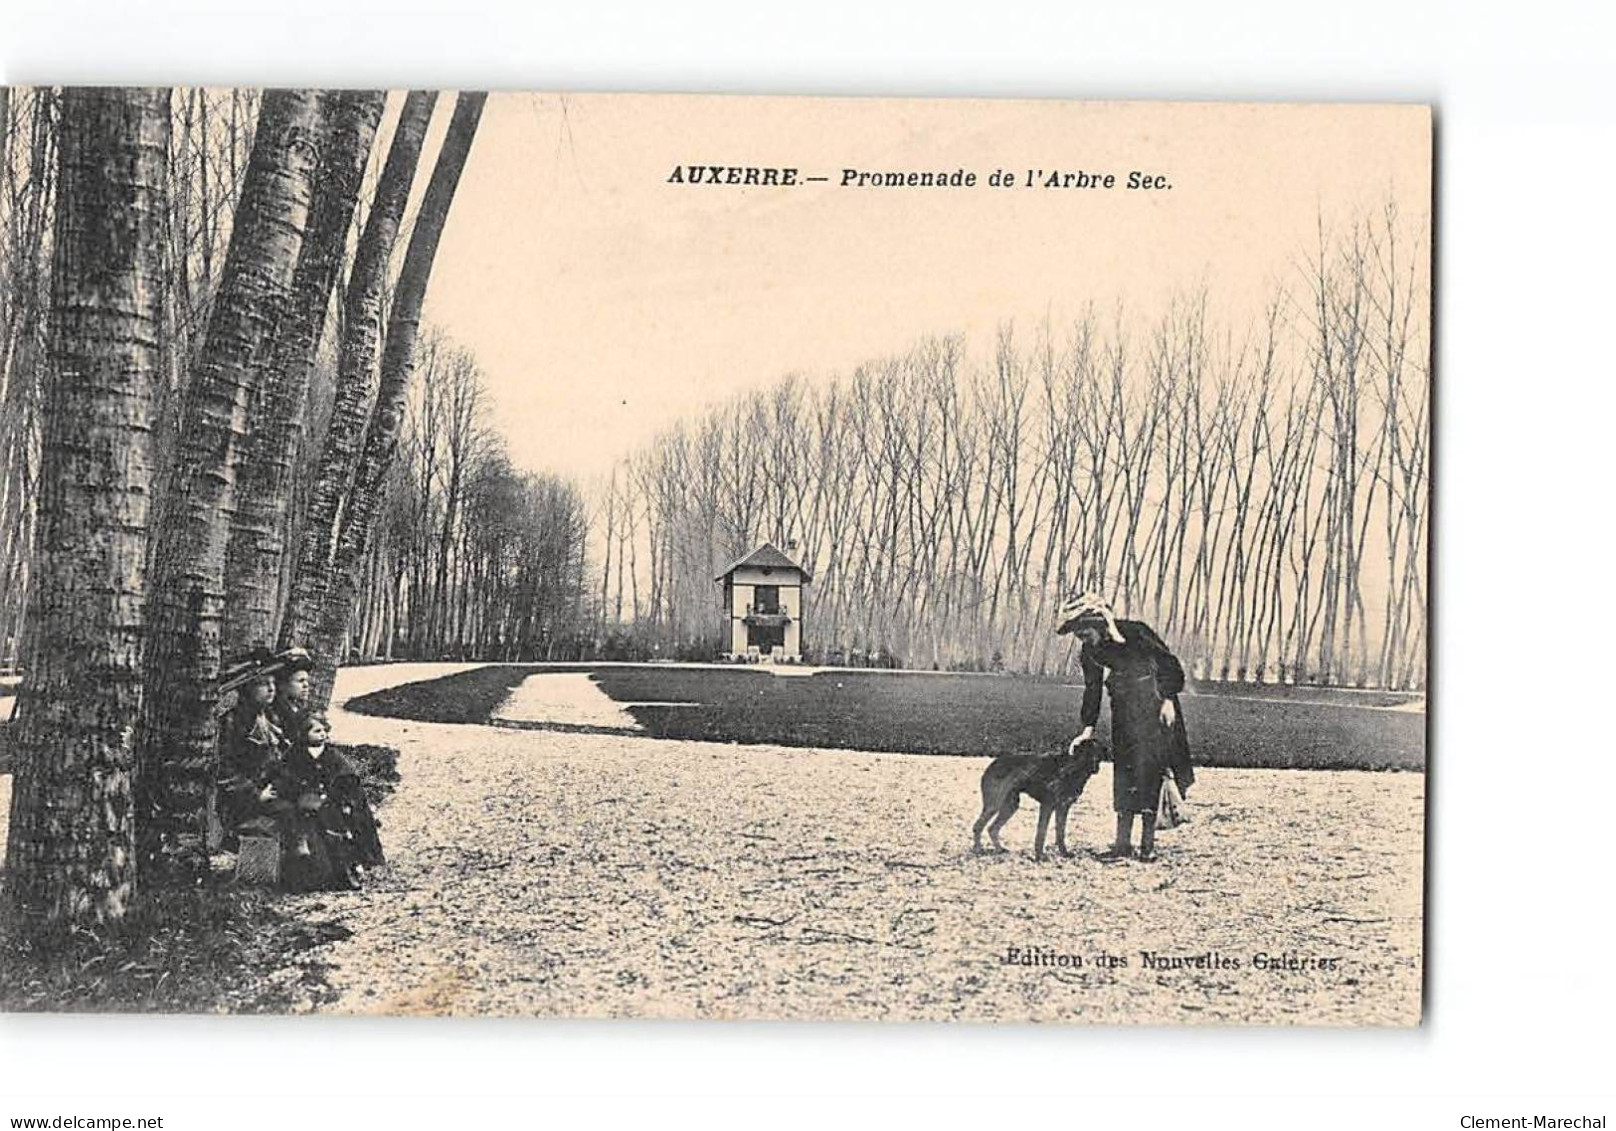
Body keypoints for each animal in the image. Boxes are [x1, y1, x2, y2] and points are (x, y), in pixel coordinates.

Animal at [963, 736, 1105, 859]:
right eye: (1088, 751)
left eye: (1098, 752)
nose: (1096, 768)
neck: (1073, 767)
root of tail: (993, 764)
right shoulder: (1048, 805)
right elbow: (1041, 832)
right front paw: (1040, 855)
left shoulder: (1063, 807)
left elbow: (1060, 832)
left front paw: (1064, 852)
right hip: (994, 804)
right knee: (978, 826)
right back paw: (978, 849)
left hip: (1010, 806)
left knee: (992, 829)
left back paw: (999, 849)